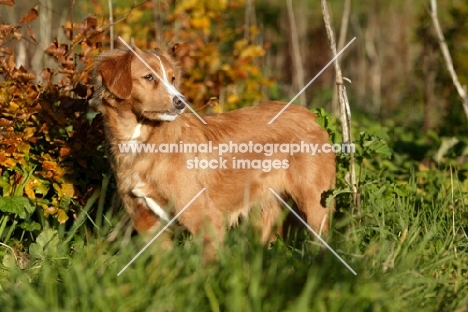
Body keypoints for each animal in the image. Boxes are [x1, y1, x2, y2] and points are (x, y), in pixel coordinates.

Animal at [94, 46, 336, 260]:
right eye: (149, 77)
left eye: (172, 78)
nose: (181, 102)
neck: (141, 142)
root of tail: (311, 115)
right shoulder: (147, 223)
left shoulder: (206, 218)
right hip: (265, 212)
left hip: (315, 205)